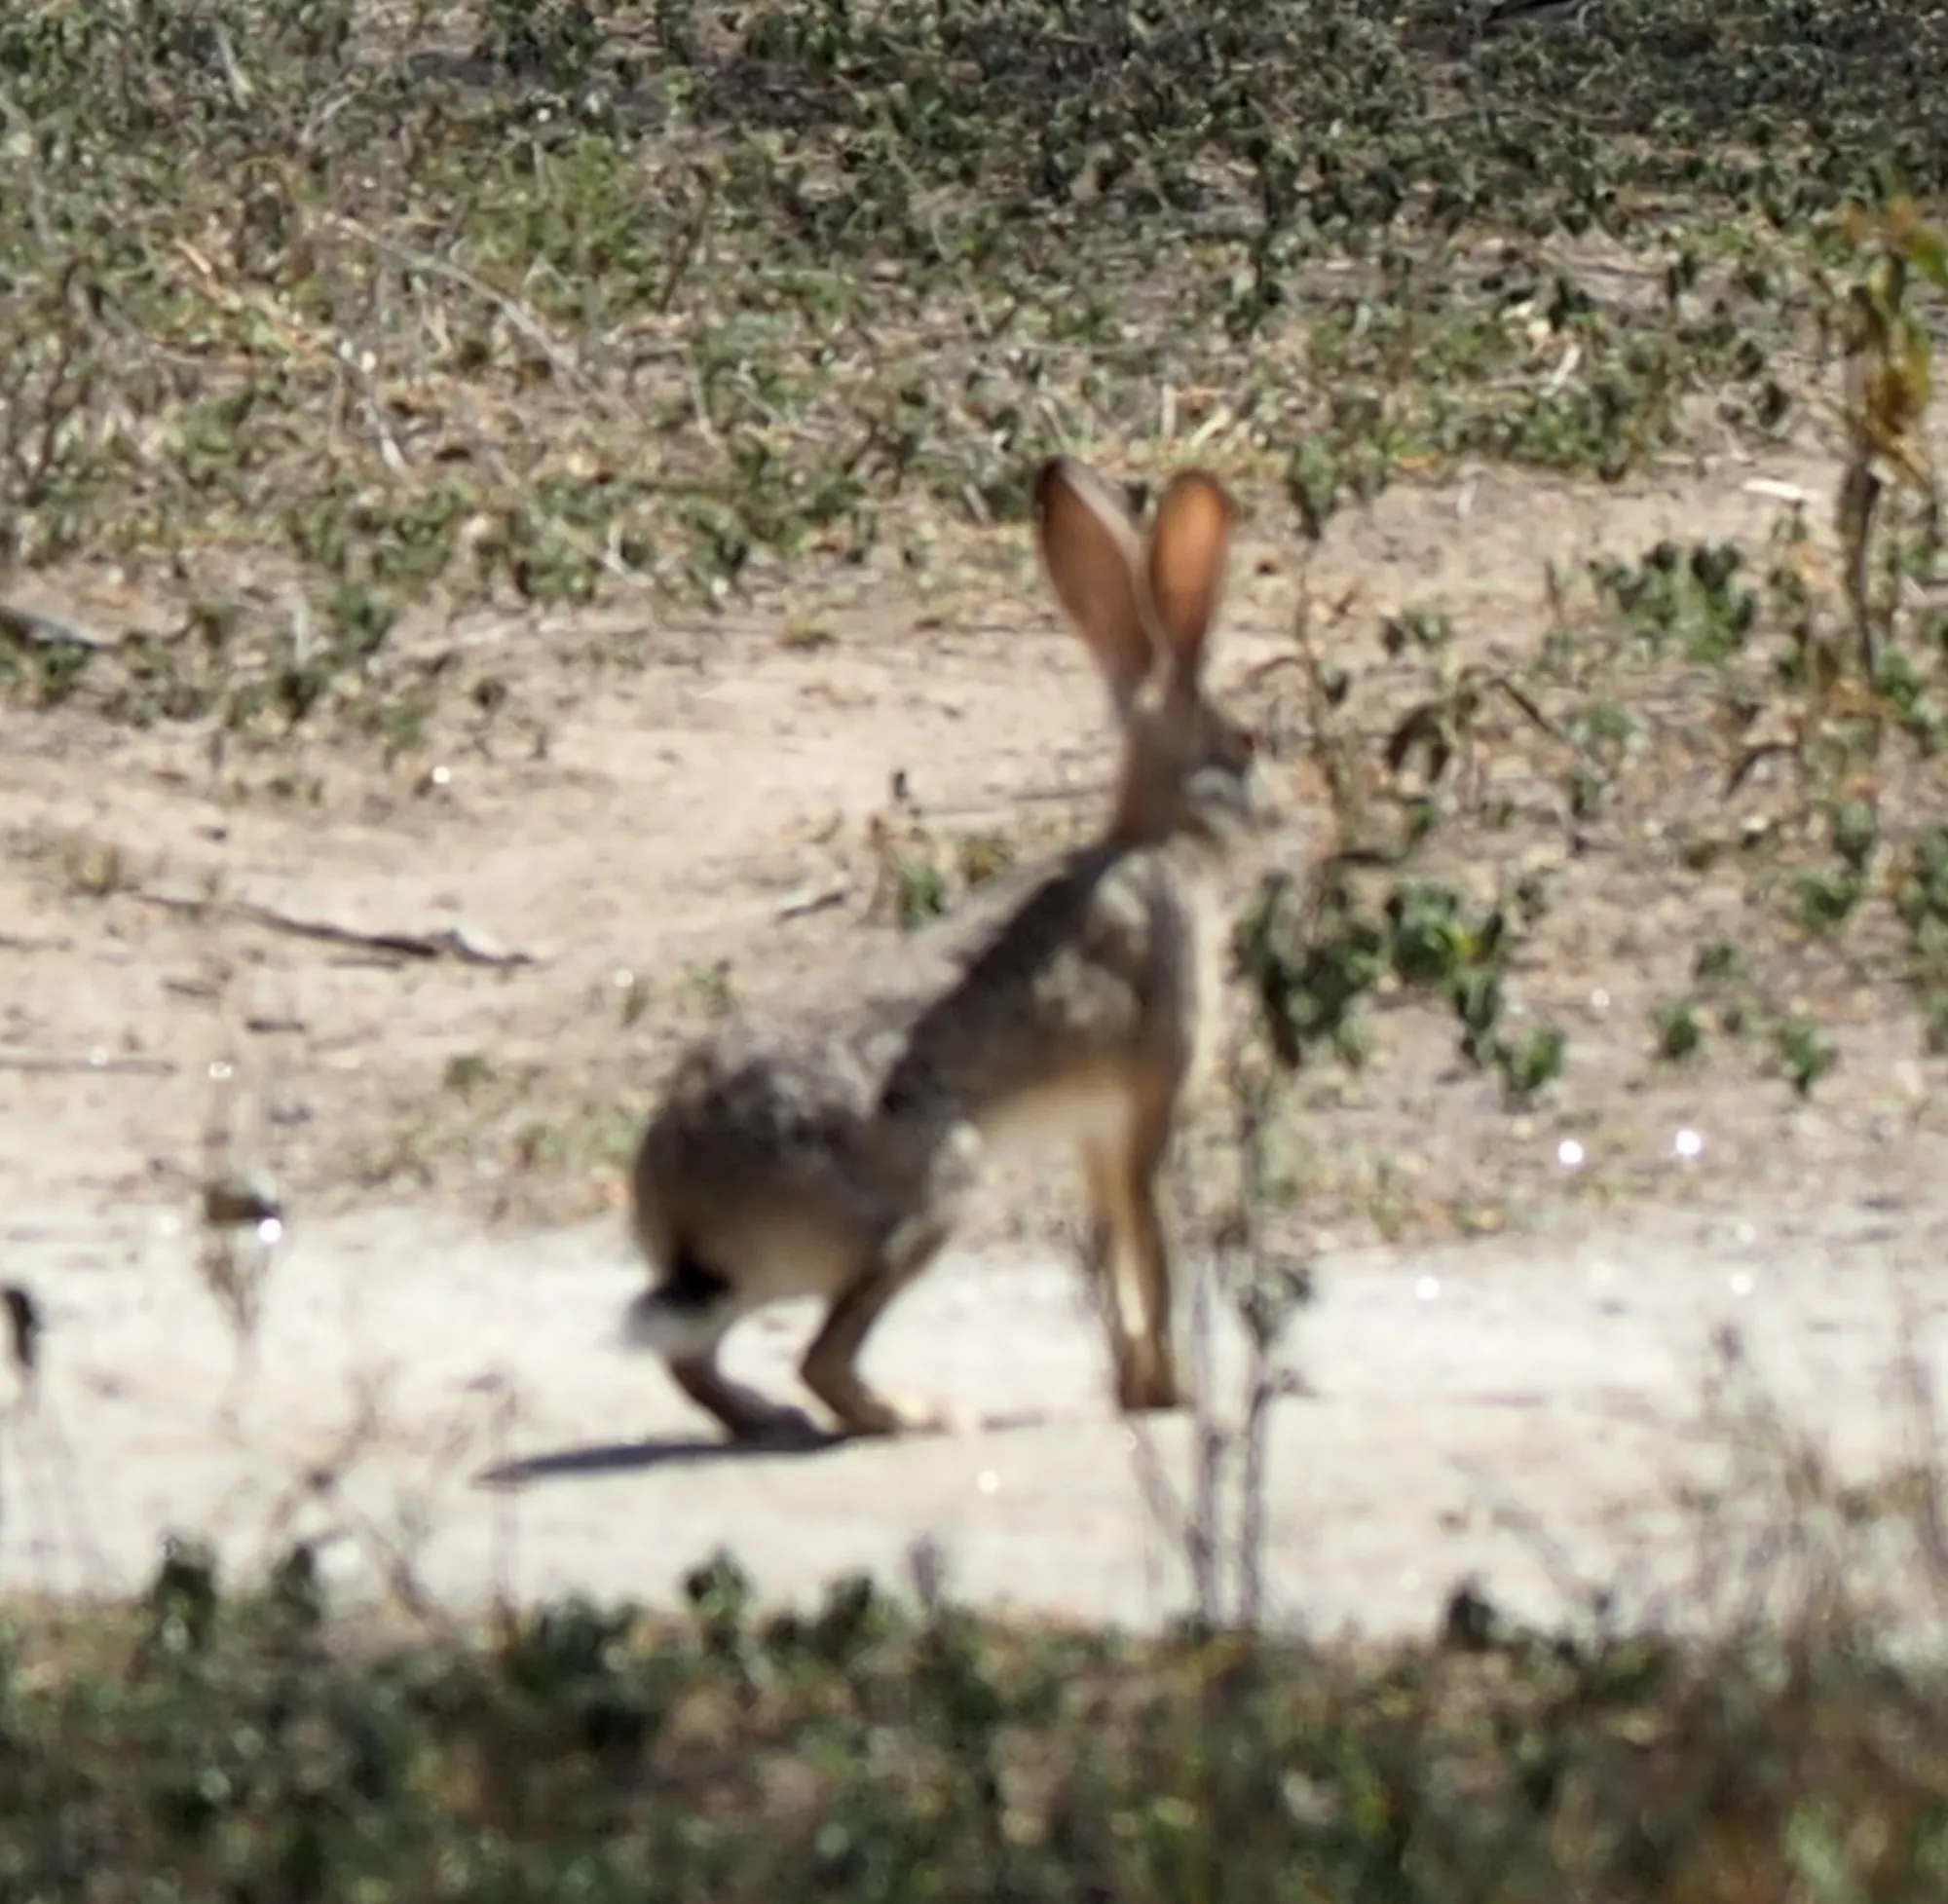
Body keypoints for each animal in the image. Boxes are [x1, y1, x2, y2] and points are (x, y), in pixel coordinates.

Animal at [622, 454, 1266, 1443]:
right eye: (1249, 740)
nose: (1281, 810)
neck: (1160, 840)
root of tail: (689, 1217)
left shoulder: (1092, 1132)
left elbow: (1112, 1245)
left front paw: (1133, 1386)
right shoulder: (1148, 1101)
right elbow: (1153, 1247)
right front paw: (1171, 1396)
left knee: (695, 1362)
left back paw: (767, 1417)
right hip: (934, 1193)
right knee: (822, 1358)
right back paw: (920, 1416)